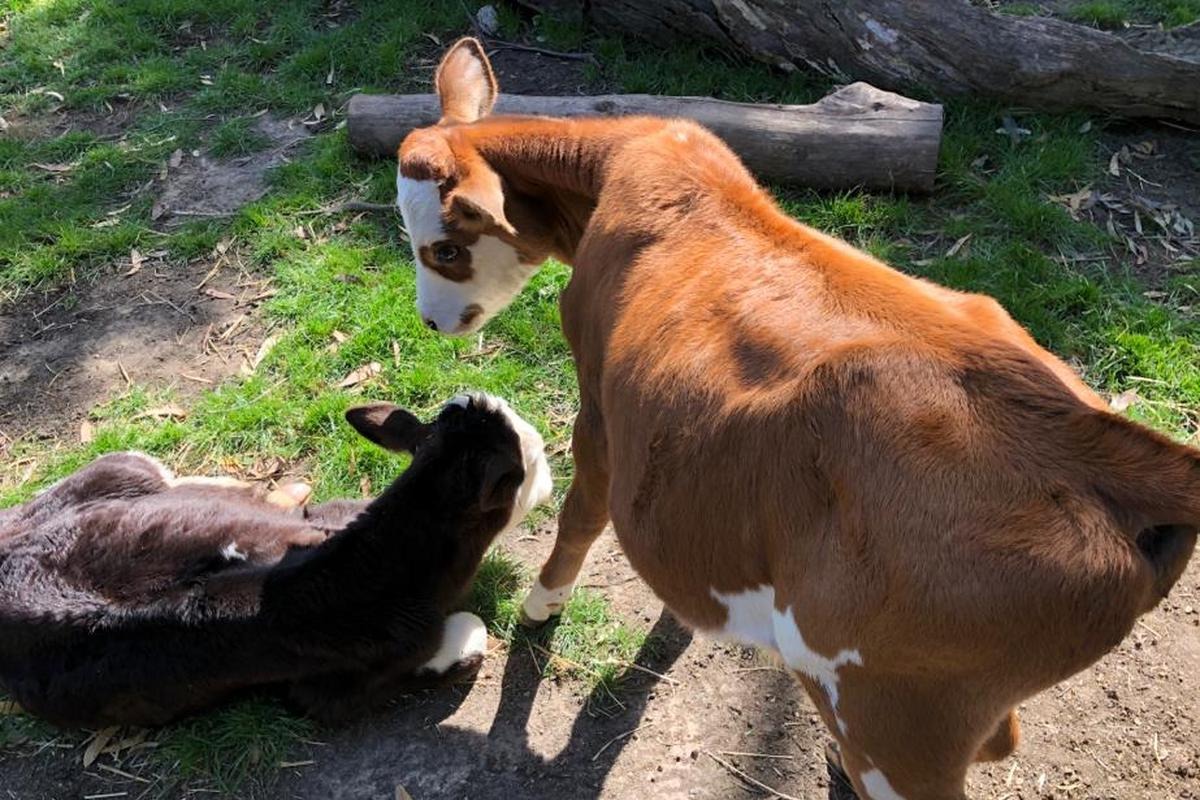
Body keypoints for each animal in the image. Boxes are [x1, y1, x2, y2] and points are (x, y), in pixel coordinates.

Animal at [0, 391, 552, 729]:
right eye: (532, 459)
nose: (551, 473)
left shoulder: (329, 517)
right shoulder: (329, 694)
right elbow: (467, 640)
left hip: (110, 472)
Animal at [396, 37, 1200, 800]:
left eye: (444, 247)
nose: (430, 324)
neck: (623, 163)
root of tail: (1092, 442)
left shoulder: (598, 406)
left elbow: (581, 516)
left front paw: (540, 605)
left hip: (891, 719)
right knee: (1002, 737)